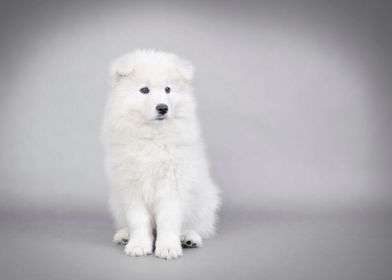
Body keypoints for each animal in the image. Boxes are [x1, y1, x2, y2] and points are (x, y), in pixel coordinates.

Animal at [101, 48, 220, 260]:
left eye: (168, 89)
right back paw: (124, 235)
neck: (153, 135)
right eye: (144, 90)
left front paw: (168, 247)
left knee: (198, 225)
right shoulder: (131, 185)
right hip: (116, 200)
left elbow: (168, 219)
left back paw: (189, 238)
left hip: (204, 199)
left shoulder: (172, 183)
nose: (163, 107)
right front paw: (138, 245)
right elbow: (138, 220)